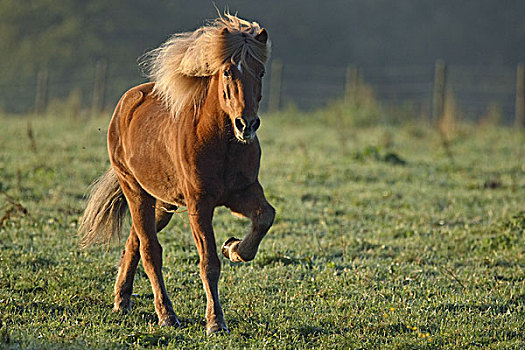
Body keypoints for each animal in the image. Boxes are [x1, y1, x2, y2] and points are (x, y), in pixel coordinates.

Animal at [79, 13, 274, 334]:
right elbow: (208, 263)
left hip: (163, 204)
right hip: (136, 192)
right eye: (228, 72)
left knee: (134, 242)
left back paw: (122, 300)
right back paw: (167, 316)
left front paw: (233, 247)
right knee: (150, 252)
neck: (221, 142)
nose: (246, 125)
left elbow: (265, 218)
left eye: (261, 72)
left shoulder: (243, 192)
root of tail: (127, 103)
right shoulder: (199, 204)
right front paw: (215, 322)